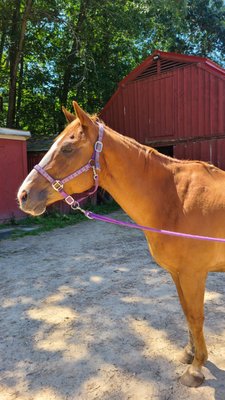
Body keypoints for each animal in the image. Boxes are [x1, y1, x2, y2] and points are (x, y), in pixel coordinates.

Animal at [18, 102, 225, 388]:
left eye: (67, 148)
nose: (23, 195)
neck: (176, 199)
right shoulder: (178, 273)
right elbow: (186, 312)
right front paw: (190, 353)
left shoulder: (194, 274)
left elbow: (196, 316)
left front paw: (196, 368)